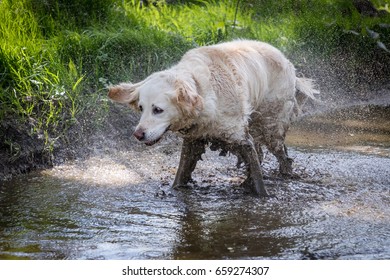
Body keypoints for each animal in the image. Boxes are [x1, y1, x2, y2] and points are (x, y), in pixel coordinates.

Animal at [108, 40, 318, 197]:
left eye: (158, 110)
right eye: (141, 108)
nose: (138, 134)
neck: (200, 89)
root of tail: (287, 62)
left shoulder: (240, 137)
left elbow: (257, 173)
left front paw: (263, 195)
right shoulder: (193, 140)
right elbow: (182, 173)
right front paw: (176, 189)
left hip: (271, 126)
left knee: (281, 154)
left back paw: (285, 174)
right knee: (262, 154)